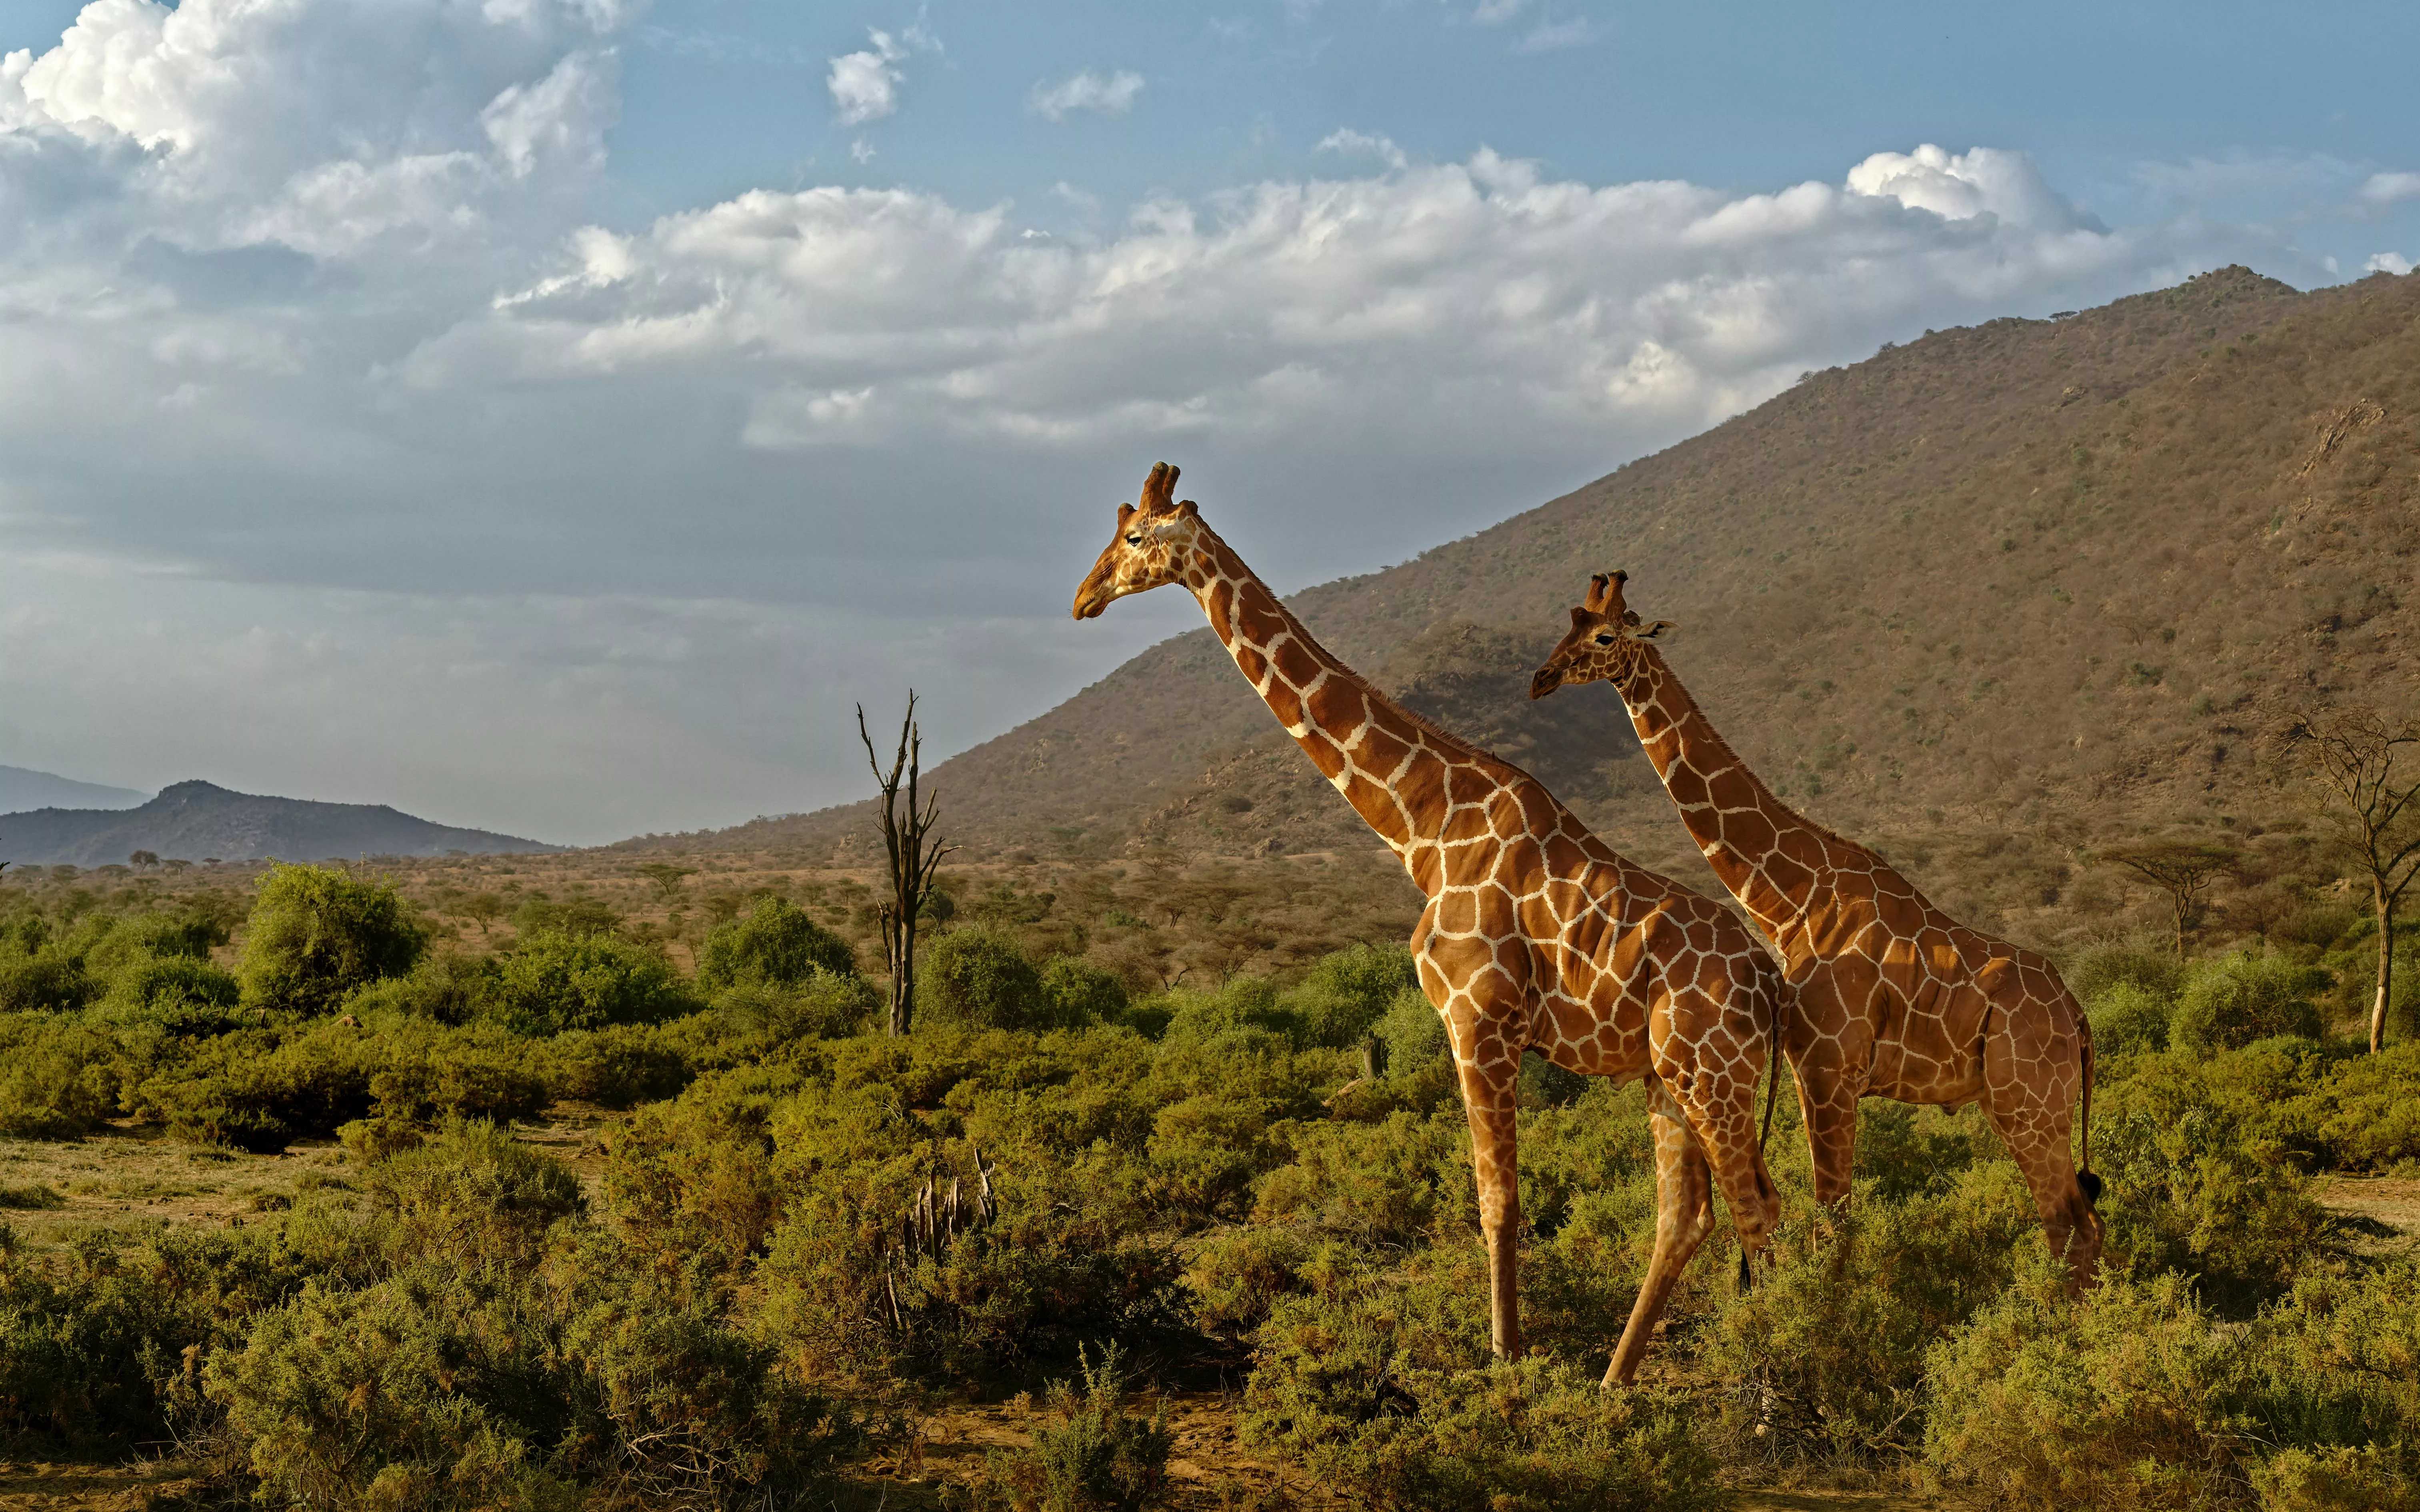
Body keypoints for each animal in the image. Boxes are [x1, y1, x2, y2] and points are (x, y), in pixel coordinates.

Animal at [1074, 464, 1790, 1385]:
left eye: (1133, 537)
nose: (1085, 598)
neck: (1423, 828)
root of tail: (1771, 980)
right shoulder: (1484, 1027)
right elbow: (1500, 1198)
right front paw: (1515, 1358)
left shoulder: (1477, 1020)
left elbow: (1498, 1201)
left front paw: (1505, 1363)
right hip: (1668, 1075)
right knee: (1691, 1215)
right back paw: (1612, 1383)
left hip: (1714, 1074)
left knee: (1757, 1207)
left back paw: (1781, 1382)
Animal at [1529, 571, 2103, 1290]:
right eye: (1568, 623)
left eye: (1604, 636)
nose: (1541, 678)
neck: (1794, 898)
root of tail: (2079, 1018)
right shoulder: (1817, 1069)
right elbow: (1829, 1218)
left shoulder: (1828, 1067)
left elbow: (1832, 1223)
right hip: (2026, 1106)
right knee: (2082, 1224)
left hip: (2029, 1103)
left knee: (2069, 1227)